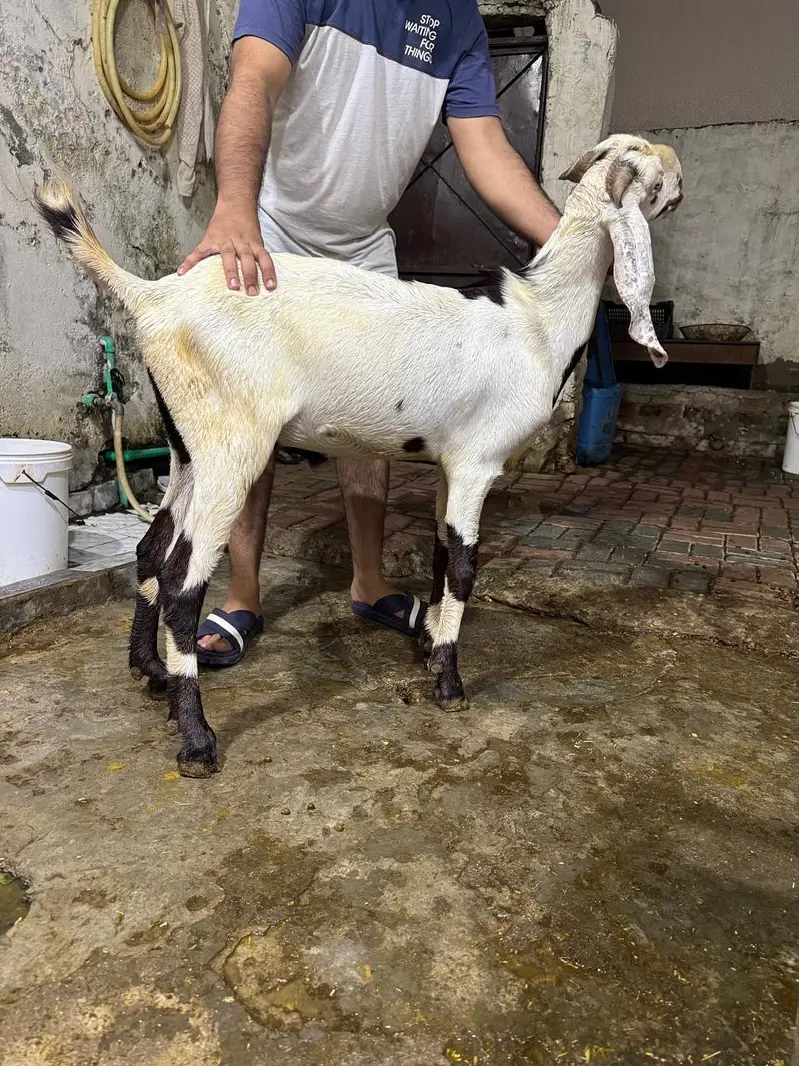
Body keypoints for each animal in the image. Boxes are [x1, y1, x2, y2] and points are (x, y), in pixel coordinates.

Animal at [35, 134, 682, 778]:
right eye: (655, 177)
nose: (680, 181)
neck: (538, 320)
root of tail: (153, 296)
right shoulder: (478, 462)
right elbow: (466, 567)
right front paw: (449, 684)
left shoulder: (450, 464)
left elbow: (442, 555)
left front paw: (429, 648)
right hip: (232, 443)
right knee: (180, 578)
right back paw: (196, 738)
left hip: (187, 443)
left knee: (151, 547)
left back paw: (152, 673)